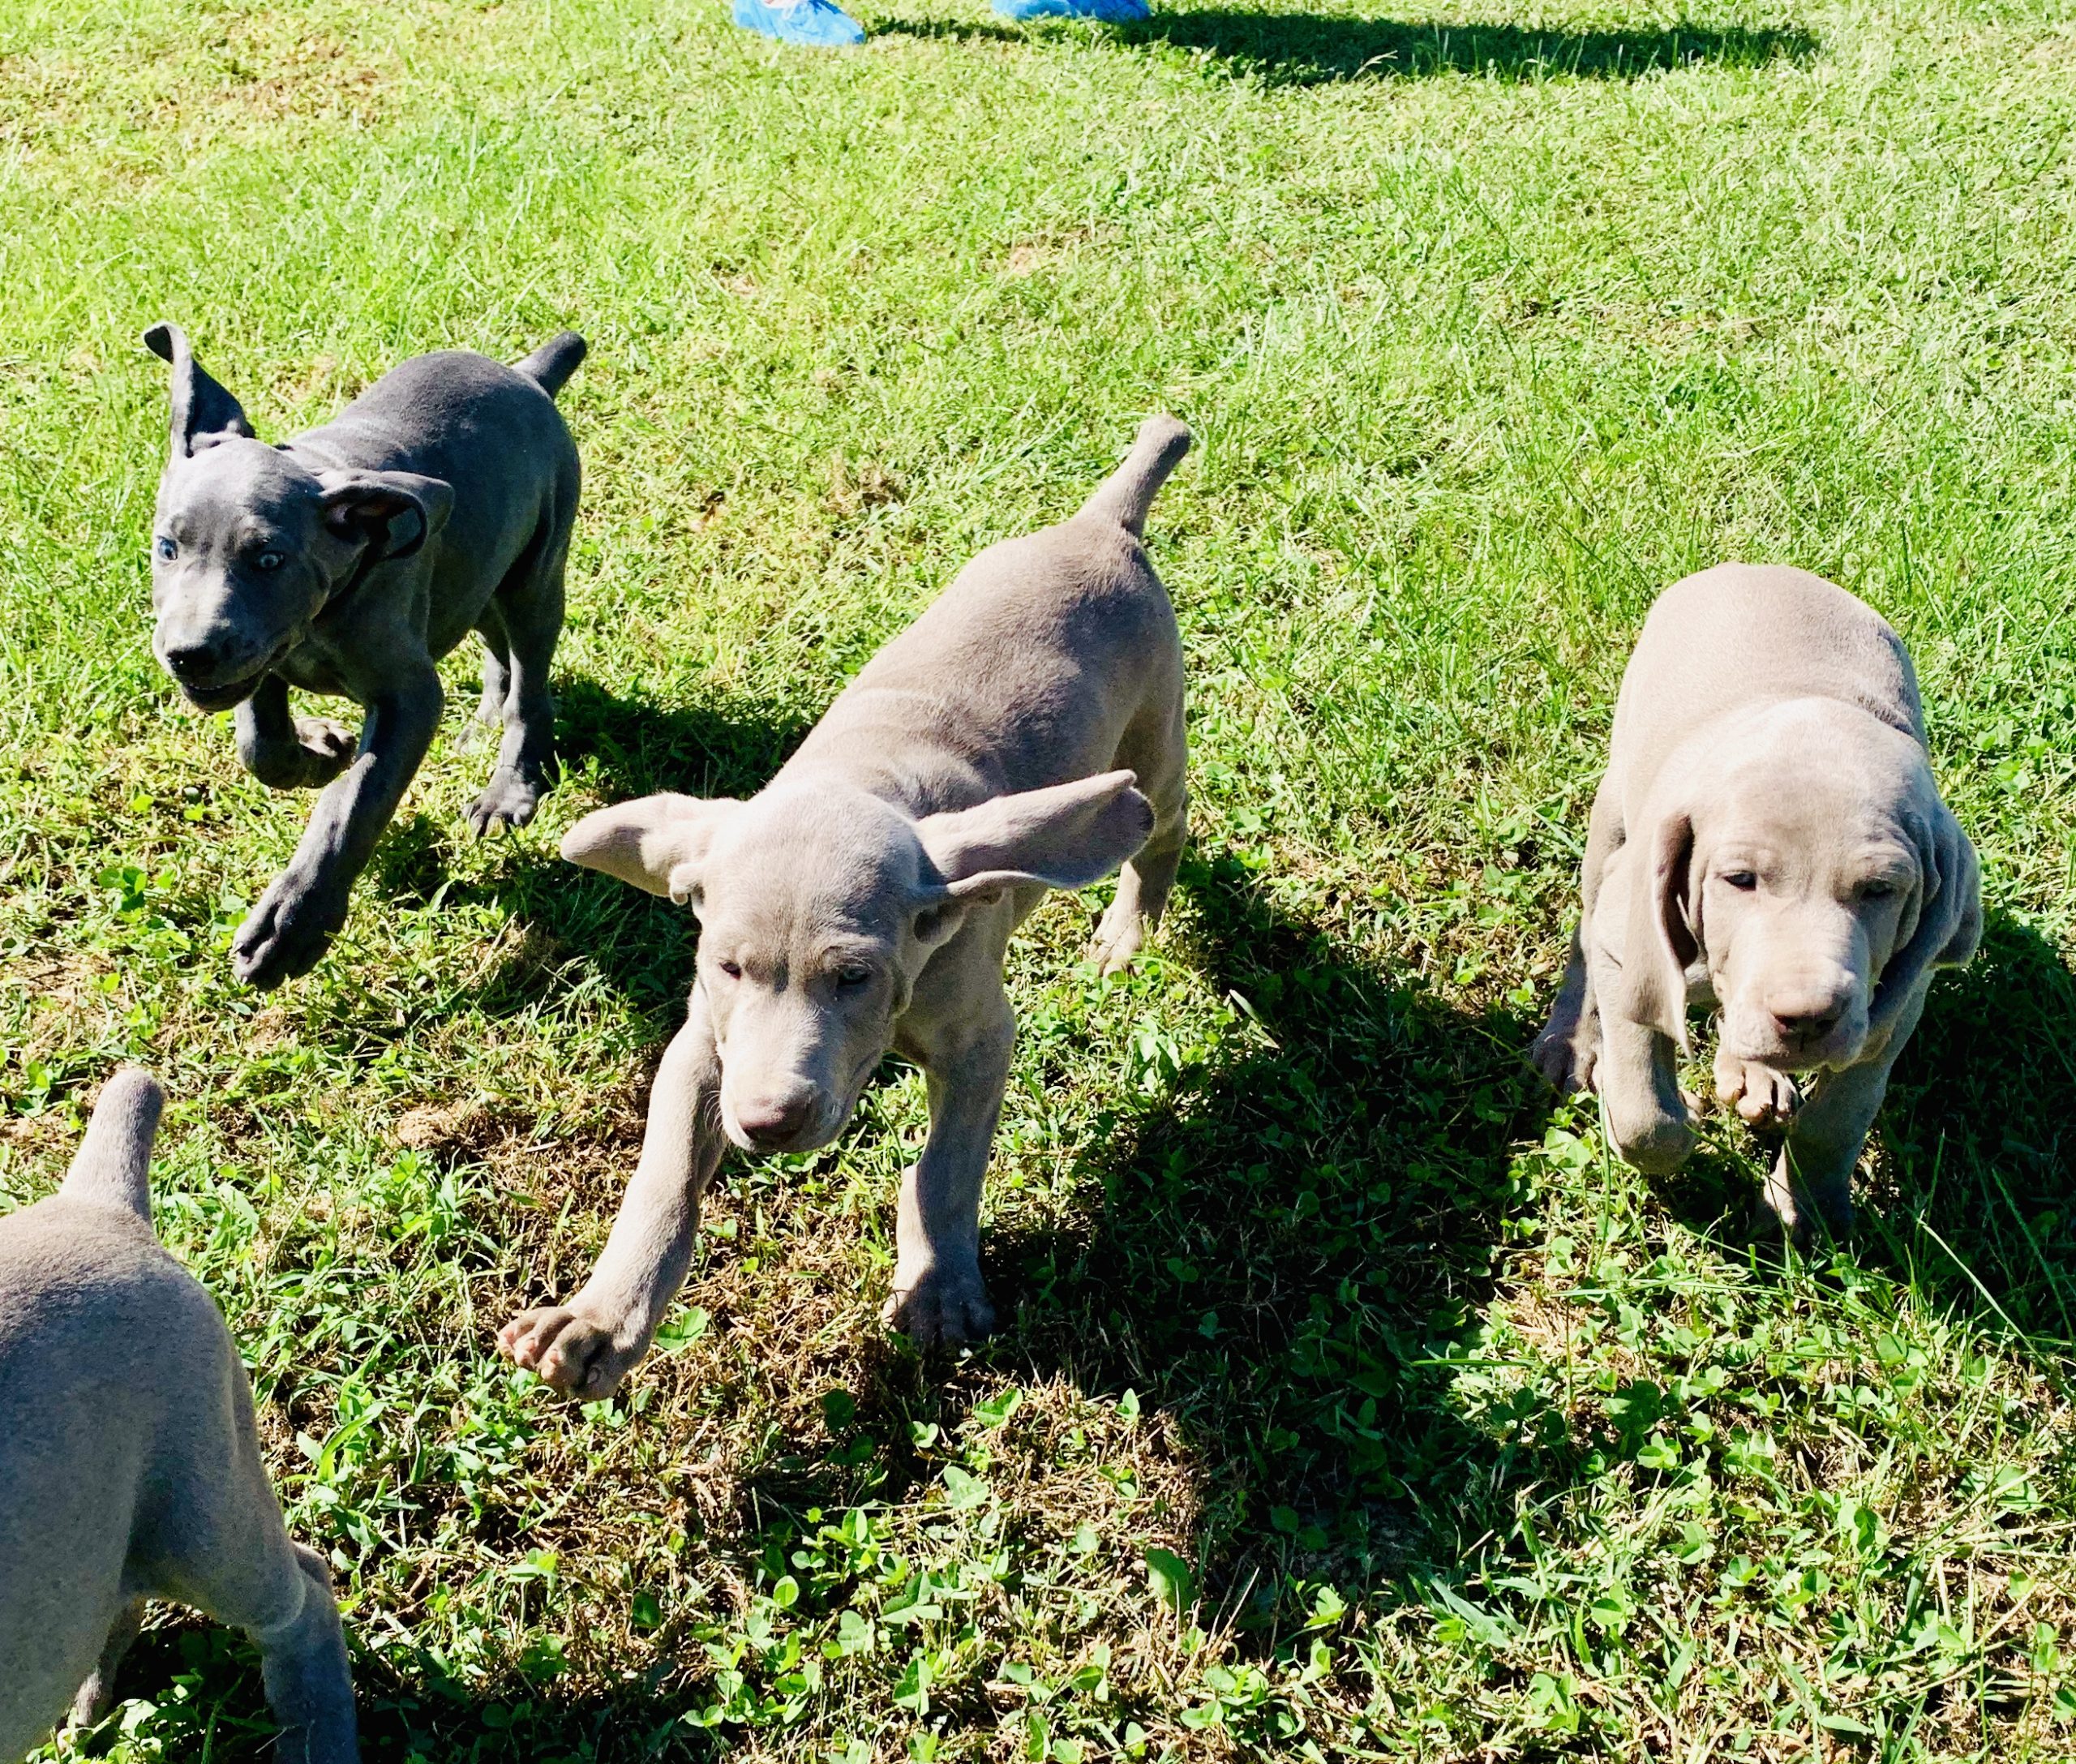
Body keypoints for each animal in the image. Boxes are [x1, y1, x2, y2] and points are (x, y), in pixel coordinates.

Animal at [0, 1062, 358, 1751]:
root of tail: (100, 1207)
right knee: (112, 1602)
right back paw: (85, 1713)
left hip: (204, 1511)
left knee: (304, 1593)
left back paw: (318, 1742)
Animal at [143, 325, 585, 988]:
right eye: (167, 547)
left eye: (269, 559)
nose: (188, 655)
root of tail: (527, 374)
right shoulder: (260, 653)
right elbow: (259, 745)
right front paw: (319, 753)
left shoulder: (408, 696)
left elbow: (352, 805)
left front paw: (291, 925)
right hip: (479, 569)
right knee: (496, 645)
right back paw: (484, 720)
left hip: (534, 575)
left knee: (531, 690)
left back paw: (508, 788)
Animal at [491, 418, 1195, 1394]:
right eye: (727, 967)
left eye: (854, 976)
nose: (768, 1122)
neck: (869, 776)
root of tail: (1102, 526)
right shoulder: (706, 1046)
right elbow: (662, 1180)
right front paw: (599, 1323)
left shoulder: (980, 1035)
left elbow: (945, 1168)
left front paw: (939, 1286)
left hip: (1152, 742)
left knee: (1164, 822)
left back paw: (1131, 930)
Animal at [1536, 564, 1984, 1237]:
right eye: (1739, 879)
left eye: (1881, 890)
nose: (1807, 1018)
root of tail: (1752, 567)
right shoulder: (1631, 951)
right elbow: (1647, 1115)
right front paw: (1647, 1115)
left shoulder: (1894, 1007)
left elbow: (1838, 1119)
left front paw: (1804, 1207)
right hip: (1610, 820)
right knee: (1586, 938)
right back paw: (1571, 1045)